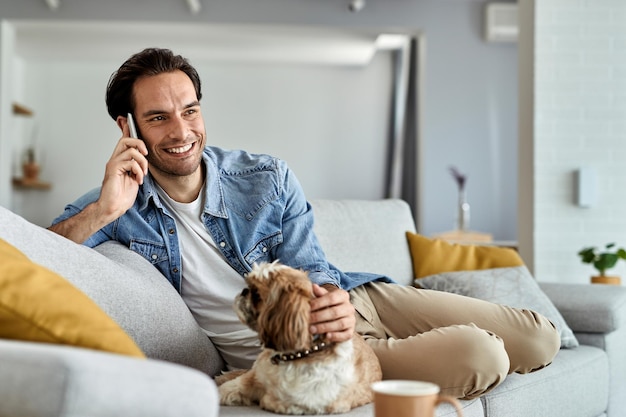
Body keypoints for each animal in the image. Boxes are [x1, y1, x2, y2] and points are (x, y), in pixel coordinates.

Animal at [214, 260, 380, 412]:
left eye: (256, 294)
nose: (244, 291)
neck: (294, 357)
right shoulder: (254, 377)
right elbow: (232, 386)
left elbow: (269, 399)